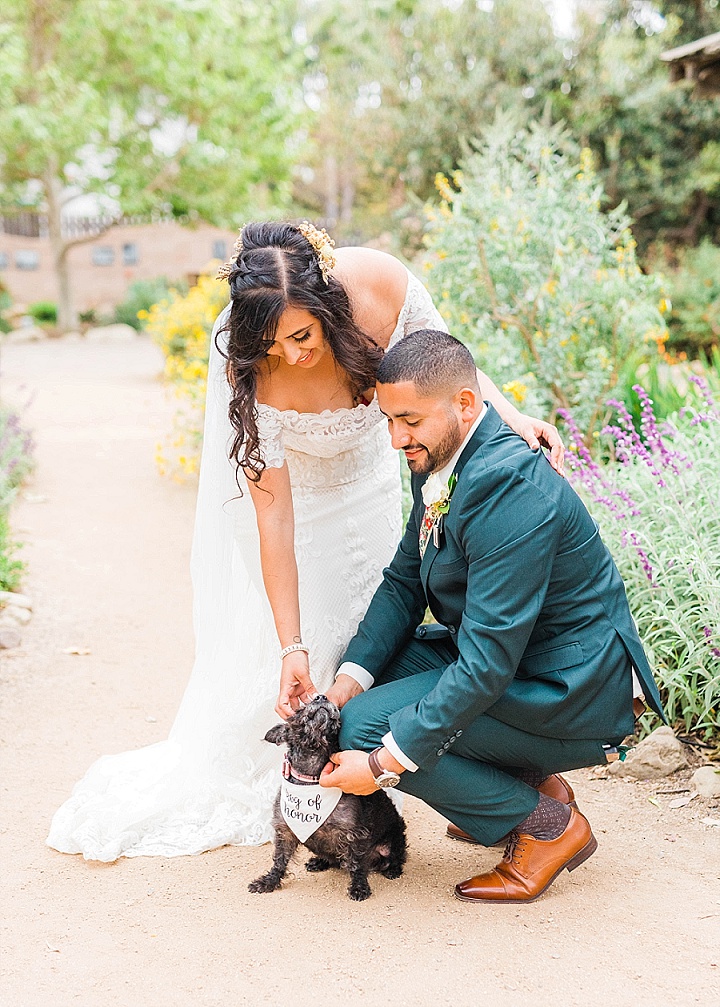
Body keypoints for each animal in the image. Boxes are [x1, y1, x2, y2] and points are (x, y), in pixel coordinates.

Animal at [247, 696, 404, 902]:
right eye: (299, 710)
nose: (321, 696)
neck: (312, 777)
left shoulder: (355, 833)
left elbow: (357, 863)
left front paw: (359, 887)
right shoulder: (285, 831)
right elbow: (280, 859)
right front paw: (268, 882)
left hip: (395, 837)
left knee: (395, 857)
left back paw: (393, 870)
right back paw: (319, 862)